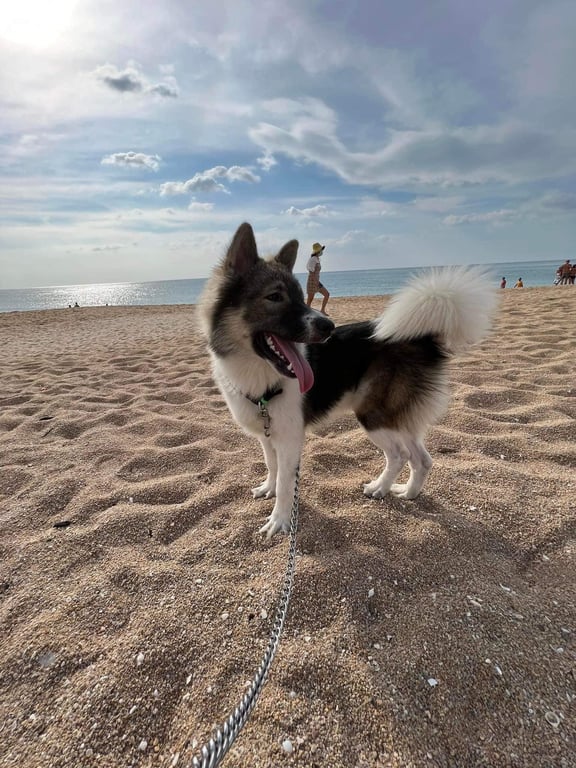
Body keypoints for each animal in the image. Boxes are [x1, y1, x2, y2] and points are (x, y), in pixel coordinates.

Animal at [199, 223, 497, 537]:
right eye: (275, 297)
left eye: (299, 296)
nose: (328, 326)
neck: (260, 371)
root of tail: (422, 339)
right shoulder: (267, 434)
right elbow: (271, 466)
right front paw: (268, 488)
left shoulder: (290, 438)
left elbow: (285, 482)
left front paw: (279, 520)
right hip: (399, 416)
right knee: (422, 459)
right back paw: (408, 492)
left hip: (374, 414)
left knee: (399, 454)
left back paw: (380, 488)